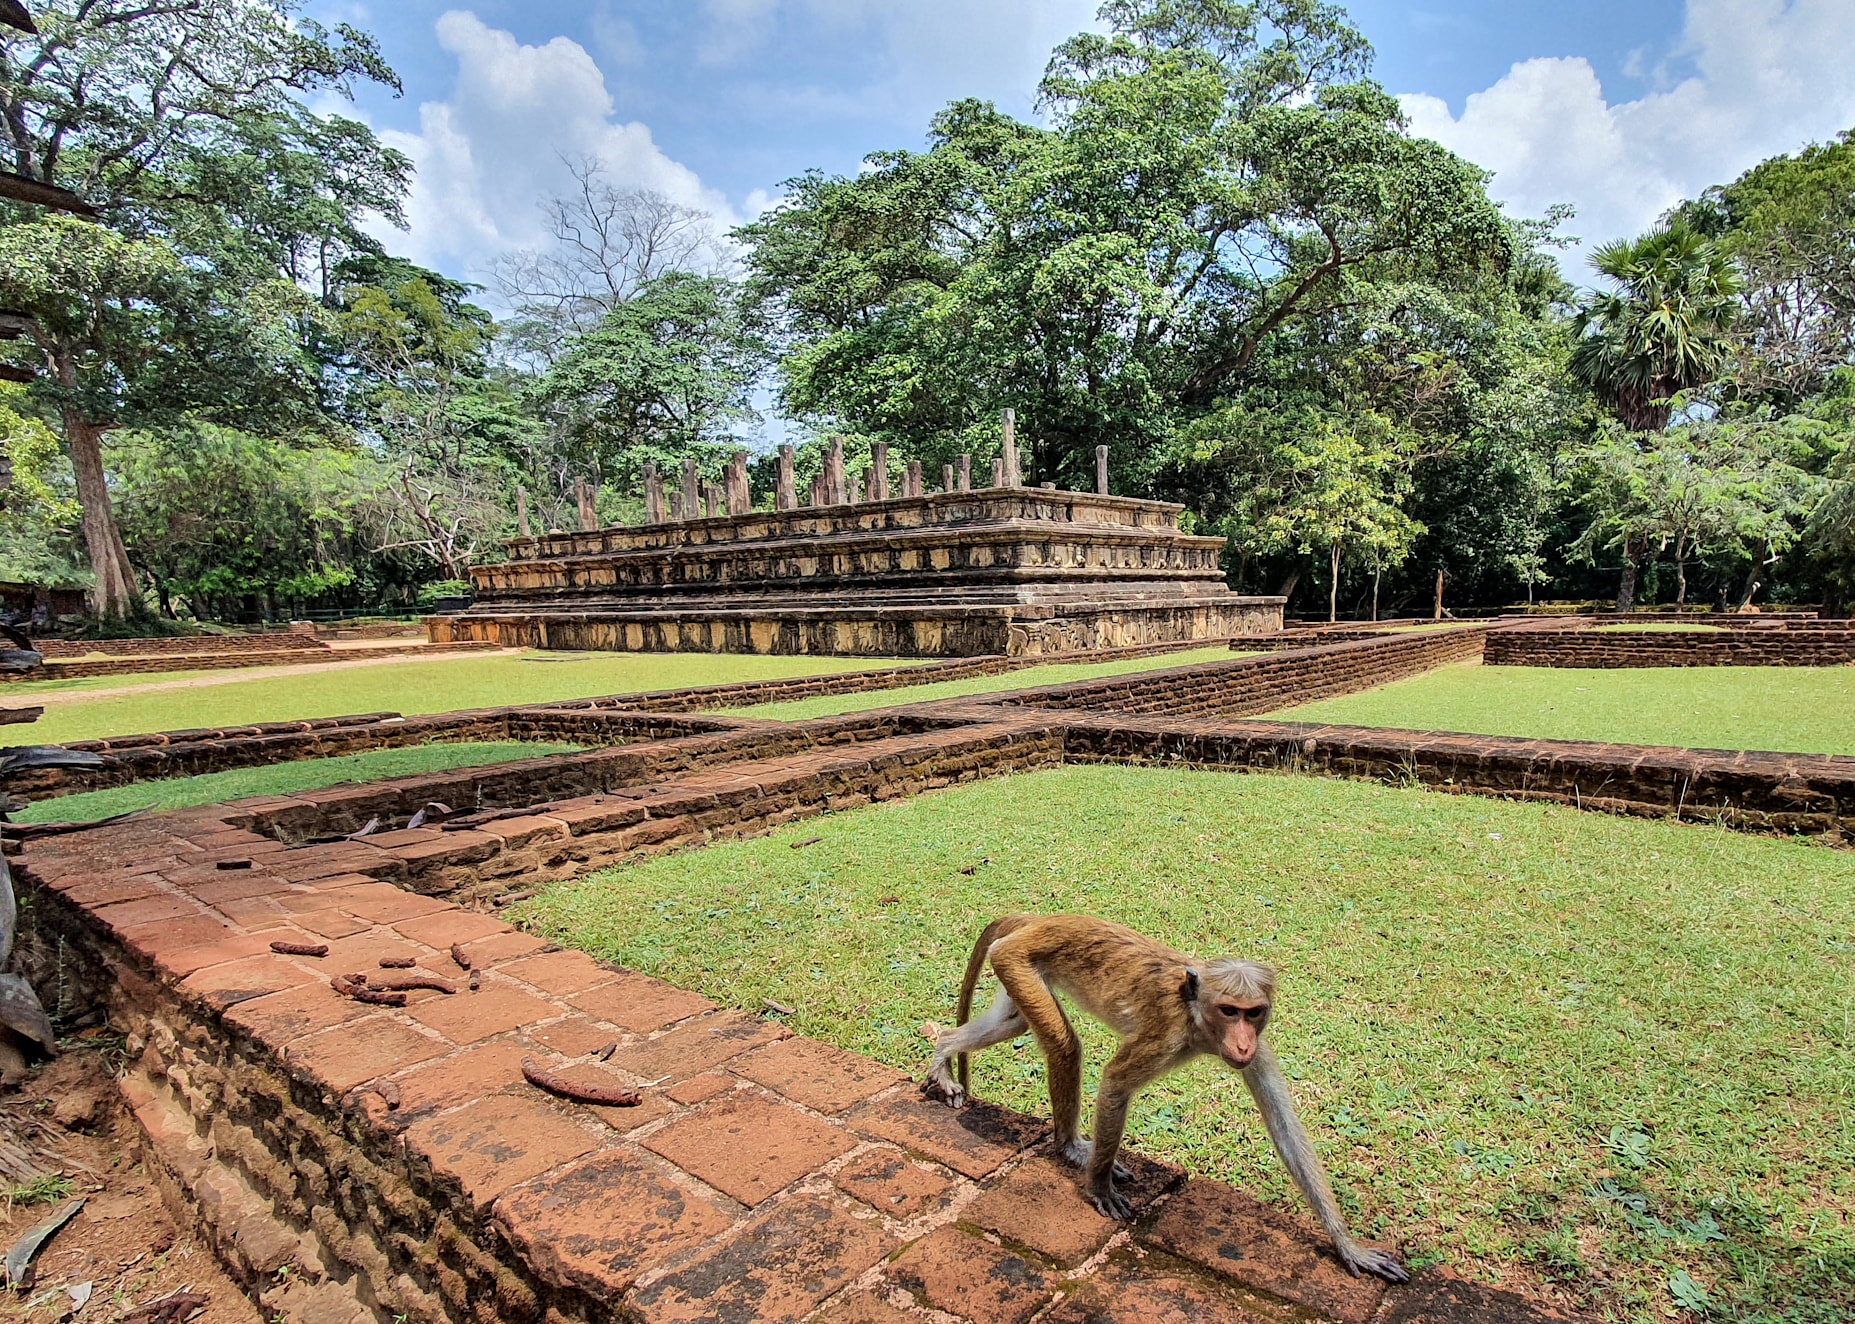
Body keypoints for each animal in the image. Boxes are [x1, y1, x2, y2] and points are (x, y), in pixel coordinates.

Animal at [923, 914, 1407, 1284]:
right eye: (1229, 1011)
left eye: (1253, 1013)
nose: (1242, 1042)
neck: (1197, 1019)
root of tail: (1037, 919)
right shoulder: (1166, 1036)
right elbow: (1117, 1081)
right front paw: (1099, 1185)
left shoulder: (1260, 1049)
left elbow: (1284, 1128)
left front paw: (1348, 1246)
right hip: (1016, 958)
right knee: (1063, 1044)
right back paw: (1071, 1148)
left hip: (1015, 964)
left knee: (1015, 1024)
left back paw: (944, 1046)